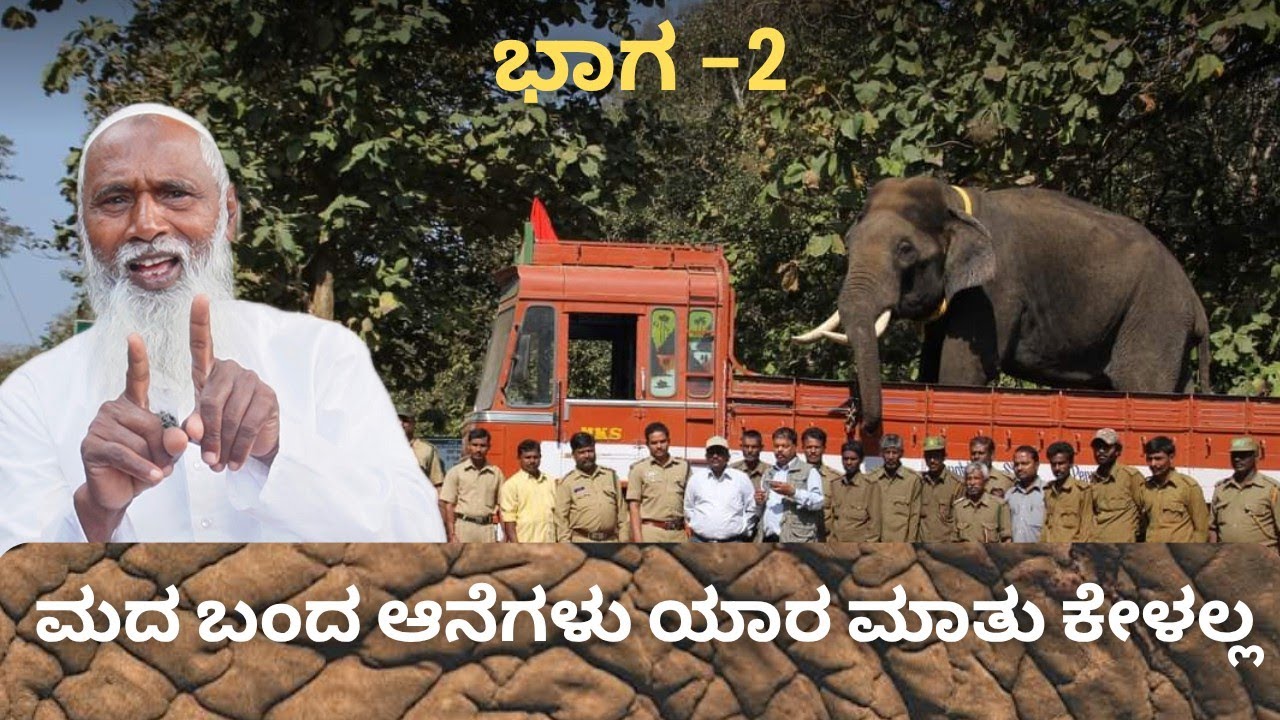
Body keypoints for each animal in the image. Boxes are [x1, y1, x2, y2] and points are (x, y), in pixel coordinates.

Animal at [794, 175, 1210, 435]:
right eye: (849, 242)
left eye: (905, 250)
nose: (861, 422)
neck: (956, 201)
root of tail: (1196, 303)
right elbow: (931, 362)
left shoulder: (993, 293)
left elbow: (963, 371)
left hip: (1154, 316)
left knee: (1142, 383)